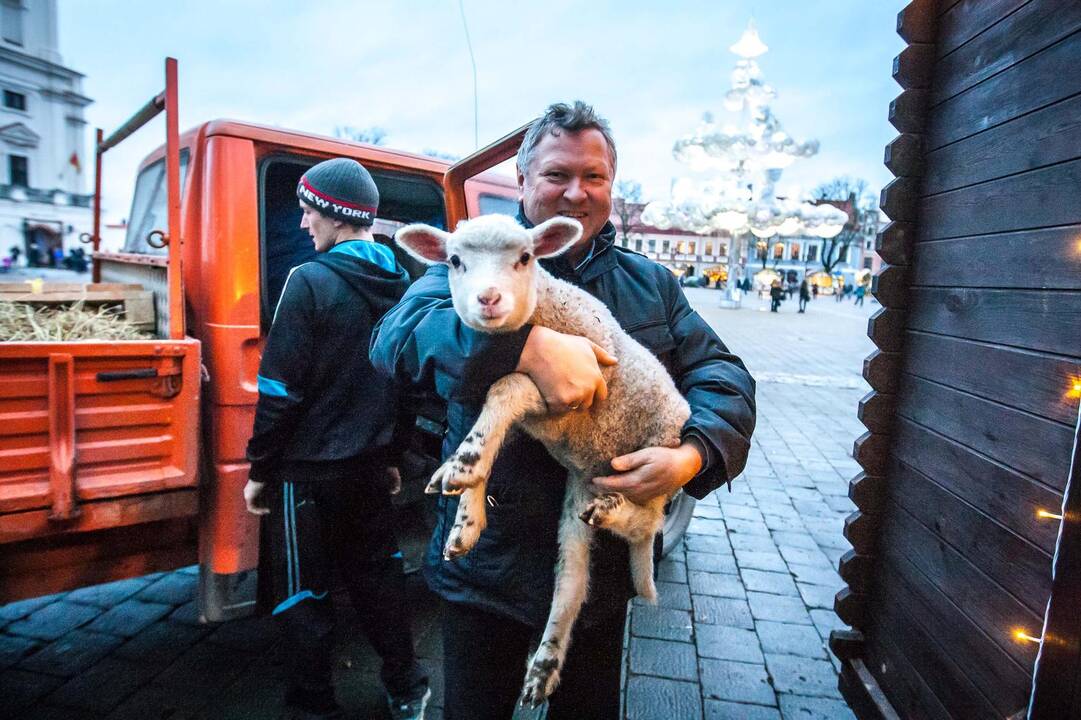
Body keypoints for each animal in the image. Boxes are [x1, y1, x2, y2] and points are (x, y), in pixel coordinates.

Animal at [397, 211, 691, 700]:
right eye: (454, 260)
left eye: (525, 258)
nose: (488, 298)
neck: (545, 310)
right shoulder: (531, 421)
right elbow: (492, 427)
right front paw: (465, 511)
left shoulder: (569, 397)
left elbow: (505, 387)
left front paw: (463, 464)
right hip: (577, 493)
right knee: (572, 581)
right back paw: (544, 666)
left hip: (655, 459)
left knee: (647, 522)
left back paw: (615, 512)